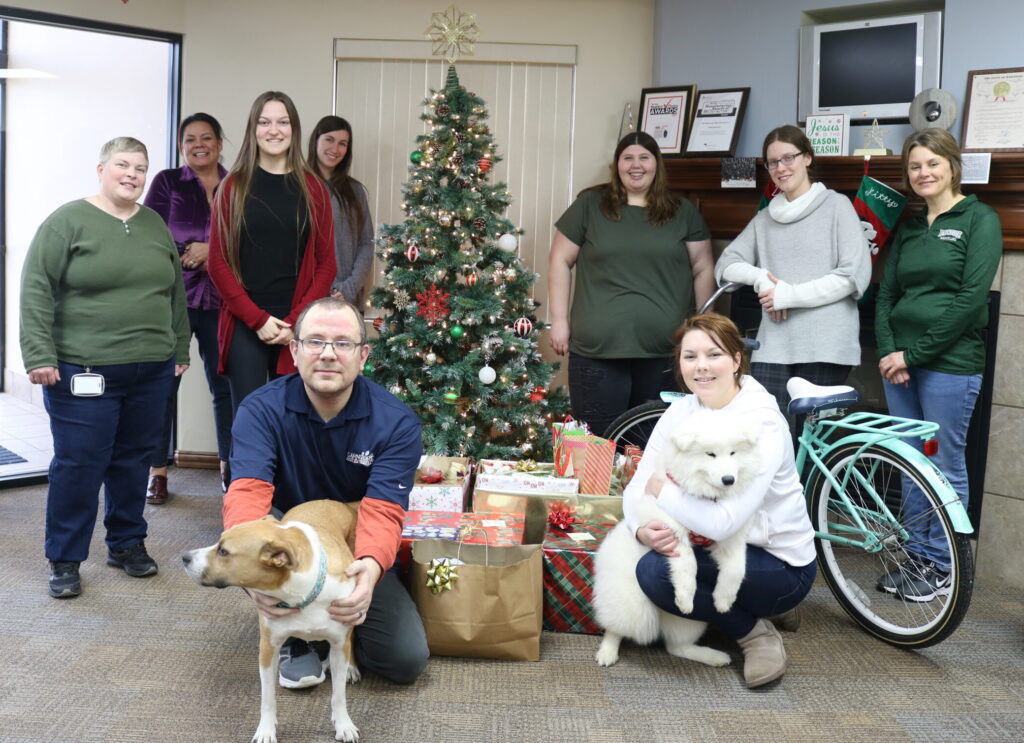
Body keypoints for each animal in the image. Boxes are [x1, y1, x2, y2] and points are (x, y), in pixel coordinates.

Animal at [184, 501, 360, 743]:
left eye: (223, 551)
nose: (184, 557)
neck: (301, 594)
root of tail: (338, 503)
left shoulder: (339, 641)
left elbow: (339, 695)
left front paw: (343, 724)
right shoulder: (268, 648)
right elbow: (267, 698)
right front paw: (266, 730)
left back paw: (352, 666)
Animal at [593, 413, 761, 671]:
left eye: (733, 453)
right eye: (710, 454)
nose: (729, 479)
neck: (706, 497)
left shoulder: (730, 536)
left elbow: (737, 568)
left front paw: (724, 600)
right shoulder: (668, 529)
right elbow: (688, 563)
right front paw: (685, 596)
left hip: (689, 622)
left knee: (676, 646)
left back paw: (713, 656)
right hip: (633, 603)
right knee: (616, 627)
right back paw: (607, 652)